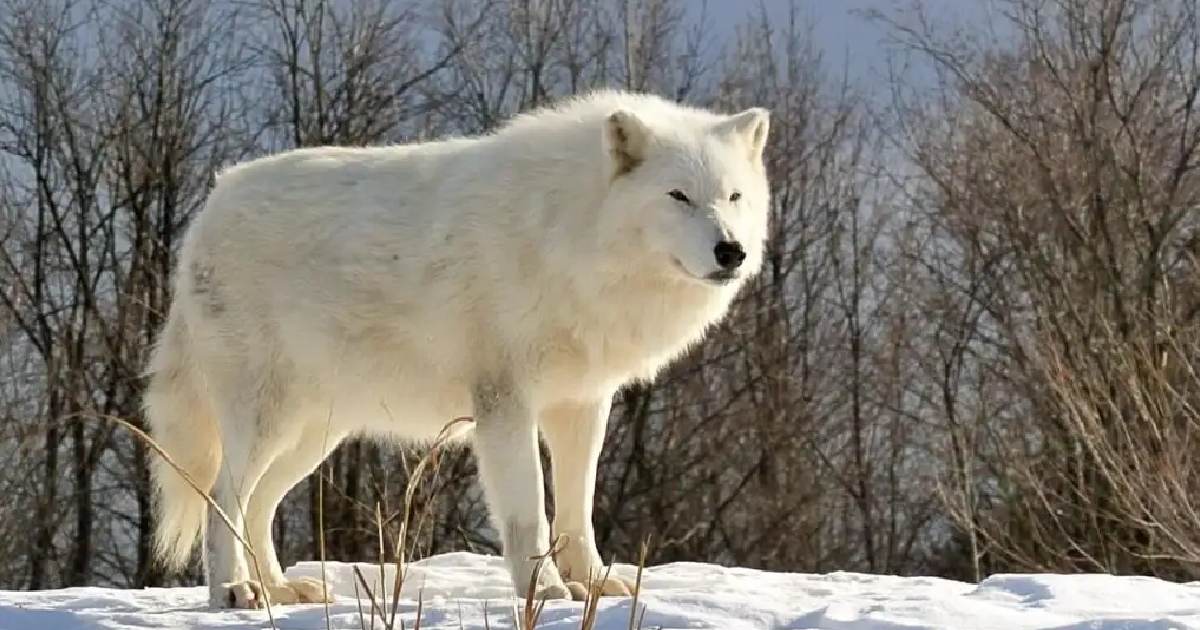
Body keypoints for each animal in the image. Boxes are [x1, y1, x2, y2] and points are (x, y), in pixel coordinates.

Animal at [145, 88, 772, 604]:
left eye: (734, 196)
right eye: (678, 196)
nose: (731, 252)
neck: (567, 234)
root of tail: (210, 207)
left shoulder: (582, 405)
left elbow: (577, 512)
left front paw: (593, 586)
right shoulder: (505, 405)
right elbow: (530, 514)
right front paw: (545, 591)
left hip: (312, 437)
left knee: (258, 504)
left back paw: (280, 589)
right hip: (267, 422)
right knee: (220, 497)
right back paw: (234, 592)